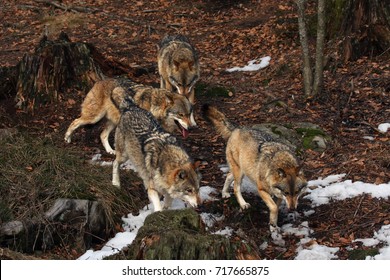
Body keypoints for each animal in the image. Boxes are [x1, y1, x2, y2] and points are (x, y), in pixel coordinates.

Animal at [66, 77, 198, 154]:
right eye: (180, 115)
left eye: (189, 114)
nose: (191, 128)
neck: (154, 107)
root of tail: (99, 81)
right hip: (93, 118)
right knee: (74, 122)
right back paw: (67, 138)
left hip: (113, 122)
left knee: (102, 135)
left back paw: (110, 151)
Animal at [201, 104, 308, 233]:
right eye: (286, 193)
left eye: (297, 192)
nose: (292, 209)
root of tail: (238, 128)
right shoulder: (261, 190)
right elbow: (274, 208)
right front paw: (273, 226)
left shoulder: (278, 195)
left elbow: (275, 208)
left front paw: (273, 224)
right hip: (240, 173)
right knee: (236, 188)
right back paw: (243, 204)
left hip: (240, 169)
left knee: (228, 176)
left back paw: (225, 193)